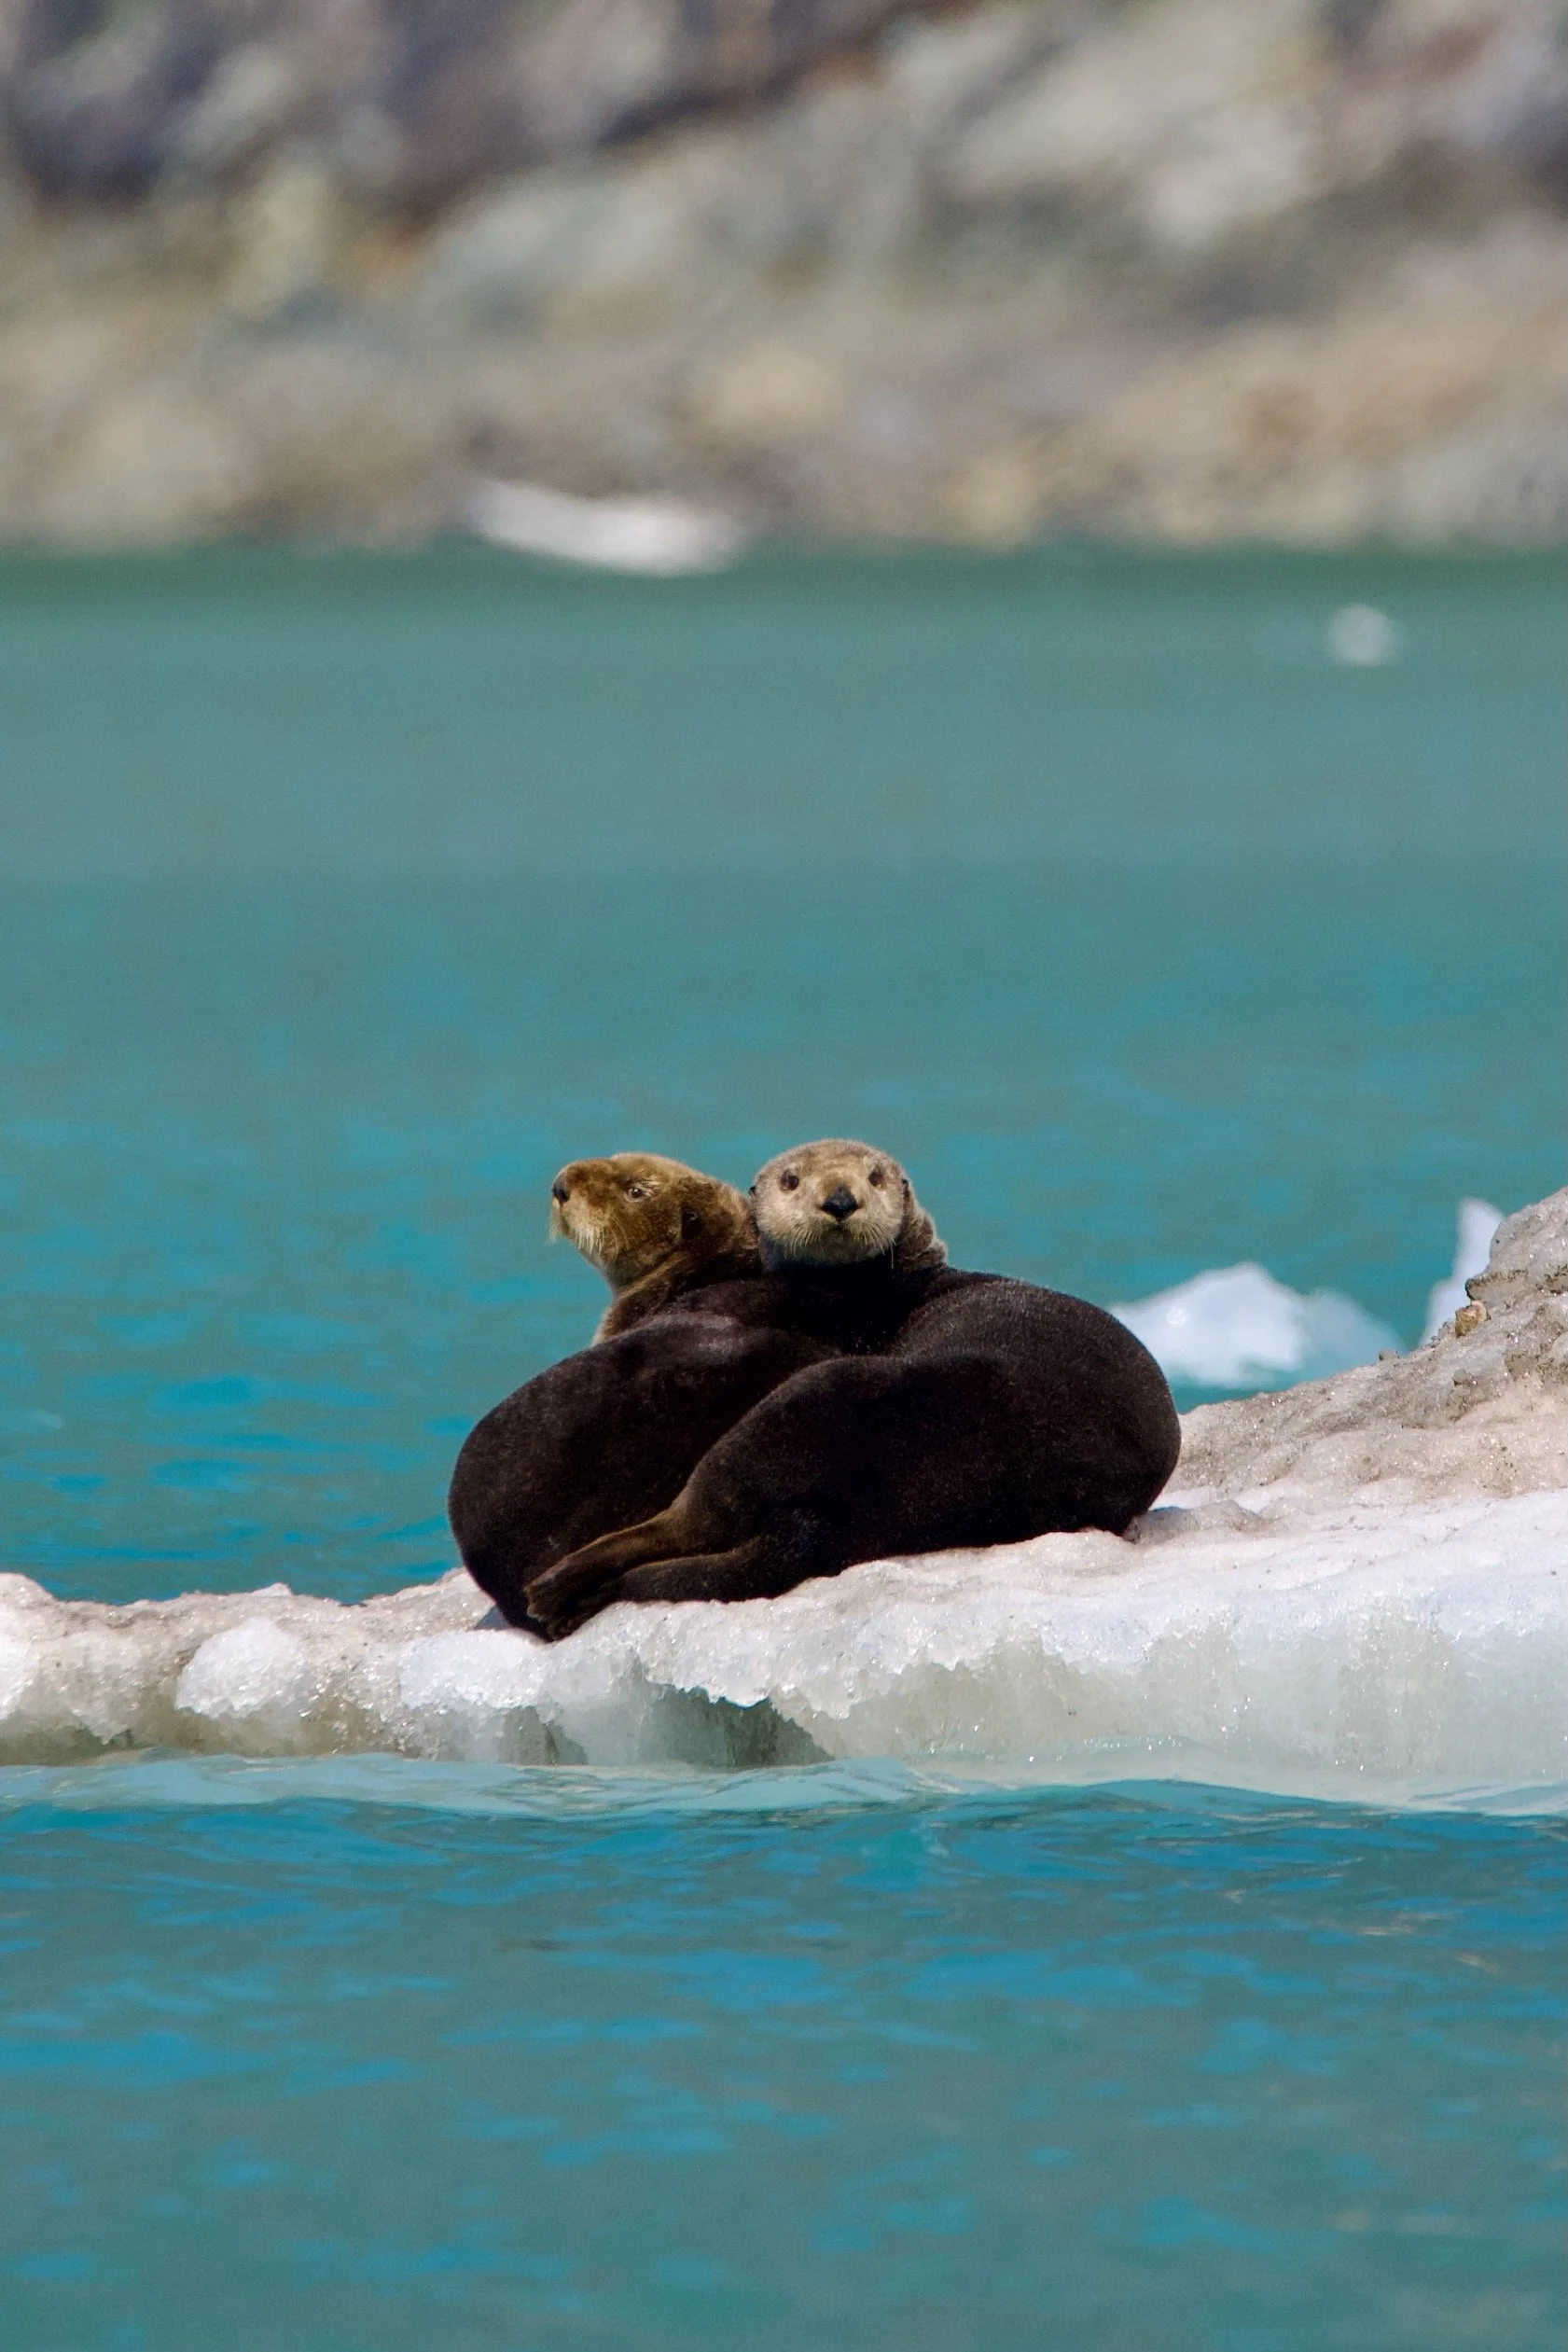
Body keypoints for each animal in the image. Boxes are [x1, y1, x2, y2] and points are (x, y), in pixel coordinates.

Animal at [524, 1139, 1181, 1638]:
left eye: (873, 1177)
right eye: (792, 1181)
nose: (839, 1200)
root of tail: (827, 1515)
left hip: (798, 1408)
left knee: (687, 1520)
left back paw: (555, 1587)